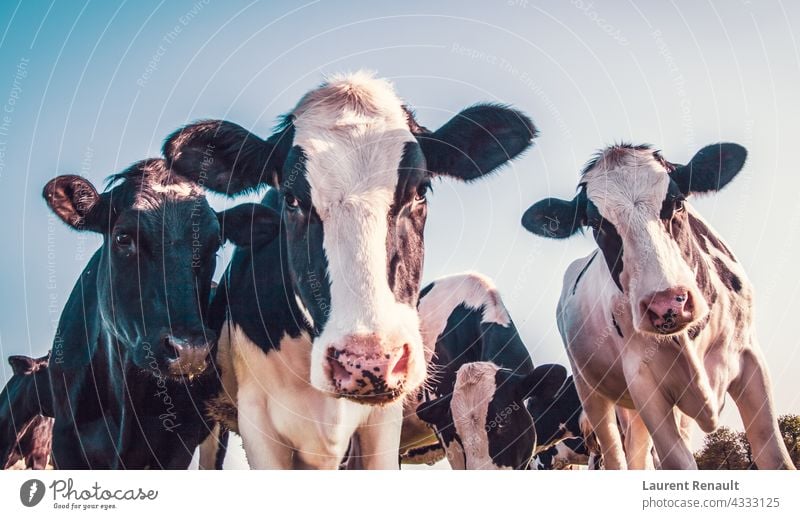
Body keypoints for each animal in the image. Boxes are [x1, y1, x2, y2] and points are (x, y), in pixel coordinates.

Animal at [520, 143, 792, 472]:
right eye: (596, 224)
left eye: (677, 202)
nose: (666, 305)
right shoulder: (644, 383)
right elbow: (677, 464)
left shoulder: (750, 358)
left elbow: (775, 457)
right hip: (592, 393)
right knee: (618, 457)